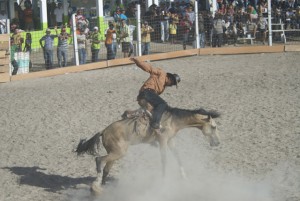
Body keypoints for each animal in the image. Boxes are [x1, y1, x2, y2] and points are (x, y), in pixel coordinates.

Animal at [75, 106, 220, 194]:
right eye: (213, 127)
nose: (218, 143)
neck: (172, 120)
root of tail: (103, 131)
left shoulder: (170, 141)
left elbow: (178, 157)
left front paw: (185, 177)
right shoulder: (162, 141)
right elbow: (164, 160)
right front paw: (164, 181)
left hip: (115, 154)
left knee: (106, 169)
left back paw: (103, 188)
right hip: (118, 152)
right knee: (99, 160)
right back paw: (96, 186)